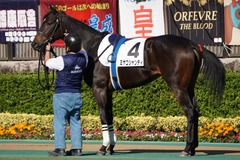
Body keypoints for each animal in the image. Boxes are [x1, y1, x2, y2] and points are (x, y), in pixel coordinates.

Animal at [31, 5, 225, 156]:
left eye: (49, 22)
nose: (35, 43)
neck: (92, 46)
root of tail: (192, 44)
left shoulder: (99, 88)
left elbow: (103, 115)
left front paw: (103, 148)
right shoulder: (108, 91)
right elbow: (109, 116)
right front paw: (111, 147)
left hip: (178, 87)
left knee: (190, 112)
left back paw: (186, 148)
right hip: (189, 86)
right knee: (196, 111)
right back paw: (193, 148)